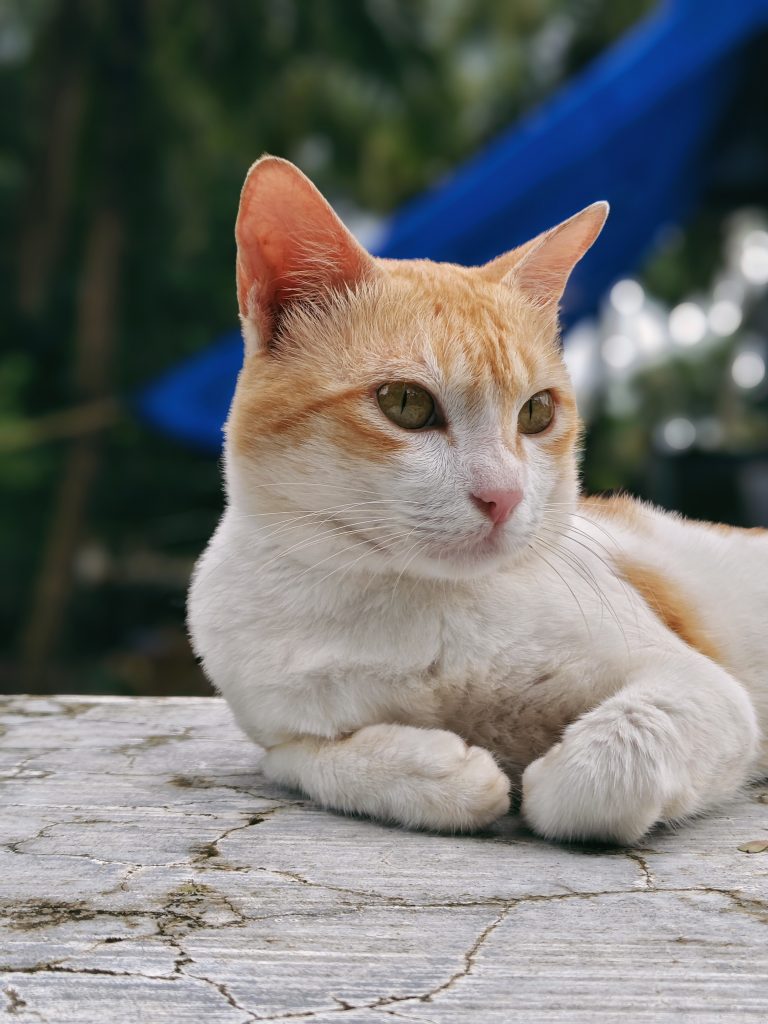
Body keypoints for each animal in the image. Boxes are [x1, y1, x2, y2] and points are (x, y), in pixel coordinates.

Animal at [188, 151, 768, 839]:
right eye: (406, 404)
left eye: (537, 412)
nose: (503, 496)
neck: (413, 608)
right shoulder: (279, 734)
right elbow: (312, 761)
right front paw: (447, 771)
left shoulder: (705, 689)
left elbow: (601, 771)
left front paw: (546, 776)